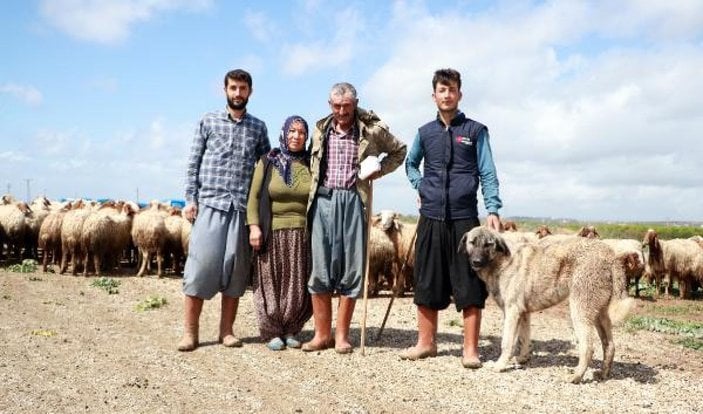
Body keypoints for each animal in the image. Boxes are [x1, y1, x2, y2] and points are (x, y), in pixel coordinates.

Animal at [460, 228, 636, 384]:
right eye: (472, 242)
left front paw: (500, 365)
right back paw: (603, 373)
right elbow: (524, 338)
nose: (476, 261)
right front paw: (523, 359)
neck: (501, 260)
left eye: (488, 244)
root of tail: (610, 255)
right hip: (599, 314)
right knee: (610, 345)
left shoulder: (512, 312)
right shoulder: (523, 313)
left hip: (580, 312)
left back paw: (576, 376)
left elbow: (507, 342)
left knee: (588, 348)